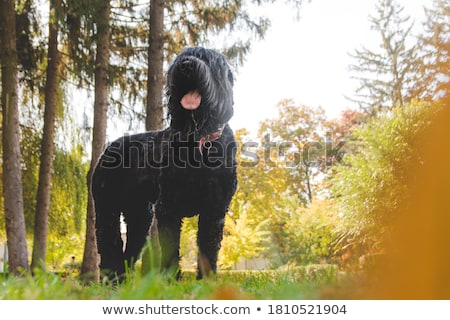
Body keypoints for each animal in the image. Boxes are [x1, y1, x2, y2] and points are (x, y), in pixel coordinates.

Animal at [93, 46, 237, 278]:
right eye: (181, 57)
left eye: (207, 59)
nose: (186, 65)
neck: (198, 140)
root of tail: (109, 146)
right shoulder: (169, 205)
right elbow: (171, 245)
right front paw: (170, 278)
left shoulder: (215, 208)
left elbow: (208, 246)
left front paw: (207, 279)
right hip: (107, 207)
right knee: (110, 245)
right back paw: (112, 279)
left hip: (139, 216)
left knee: (128, 251)